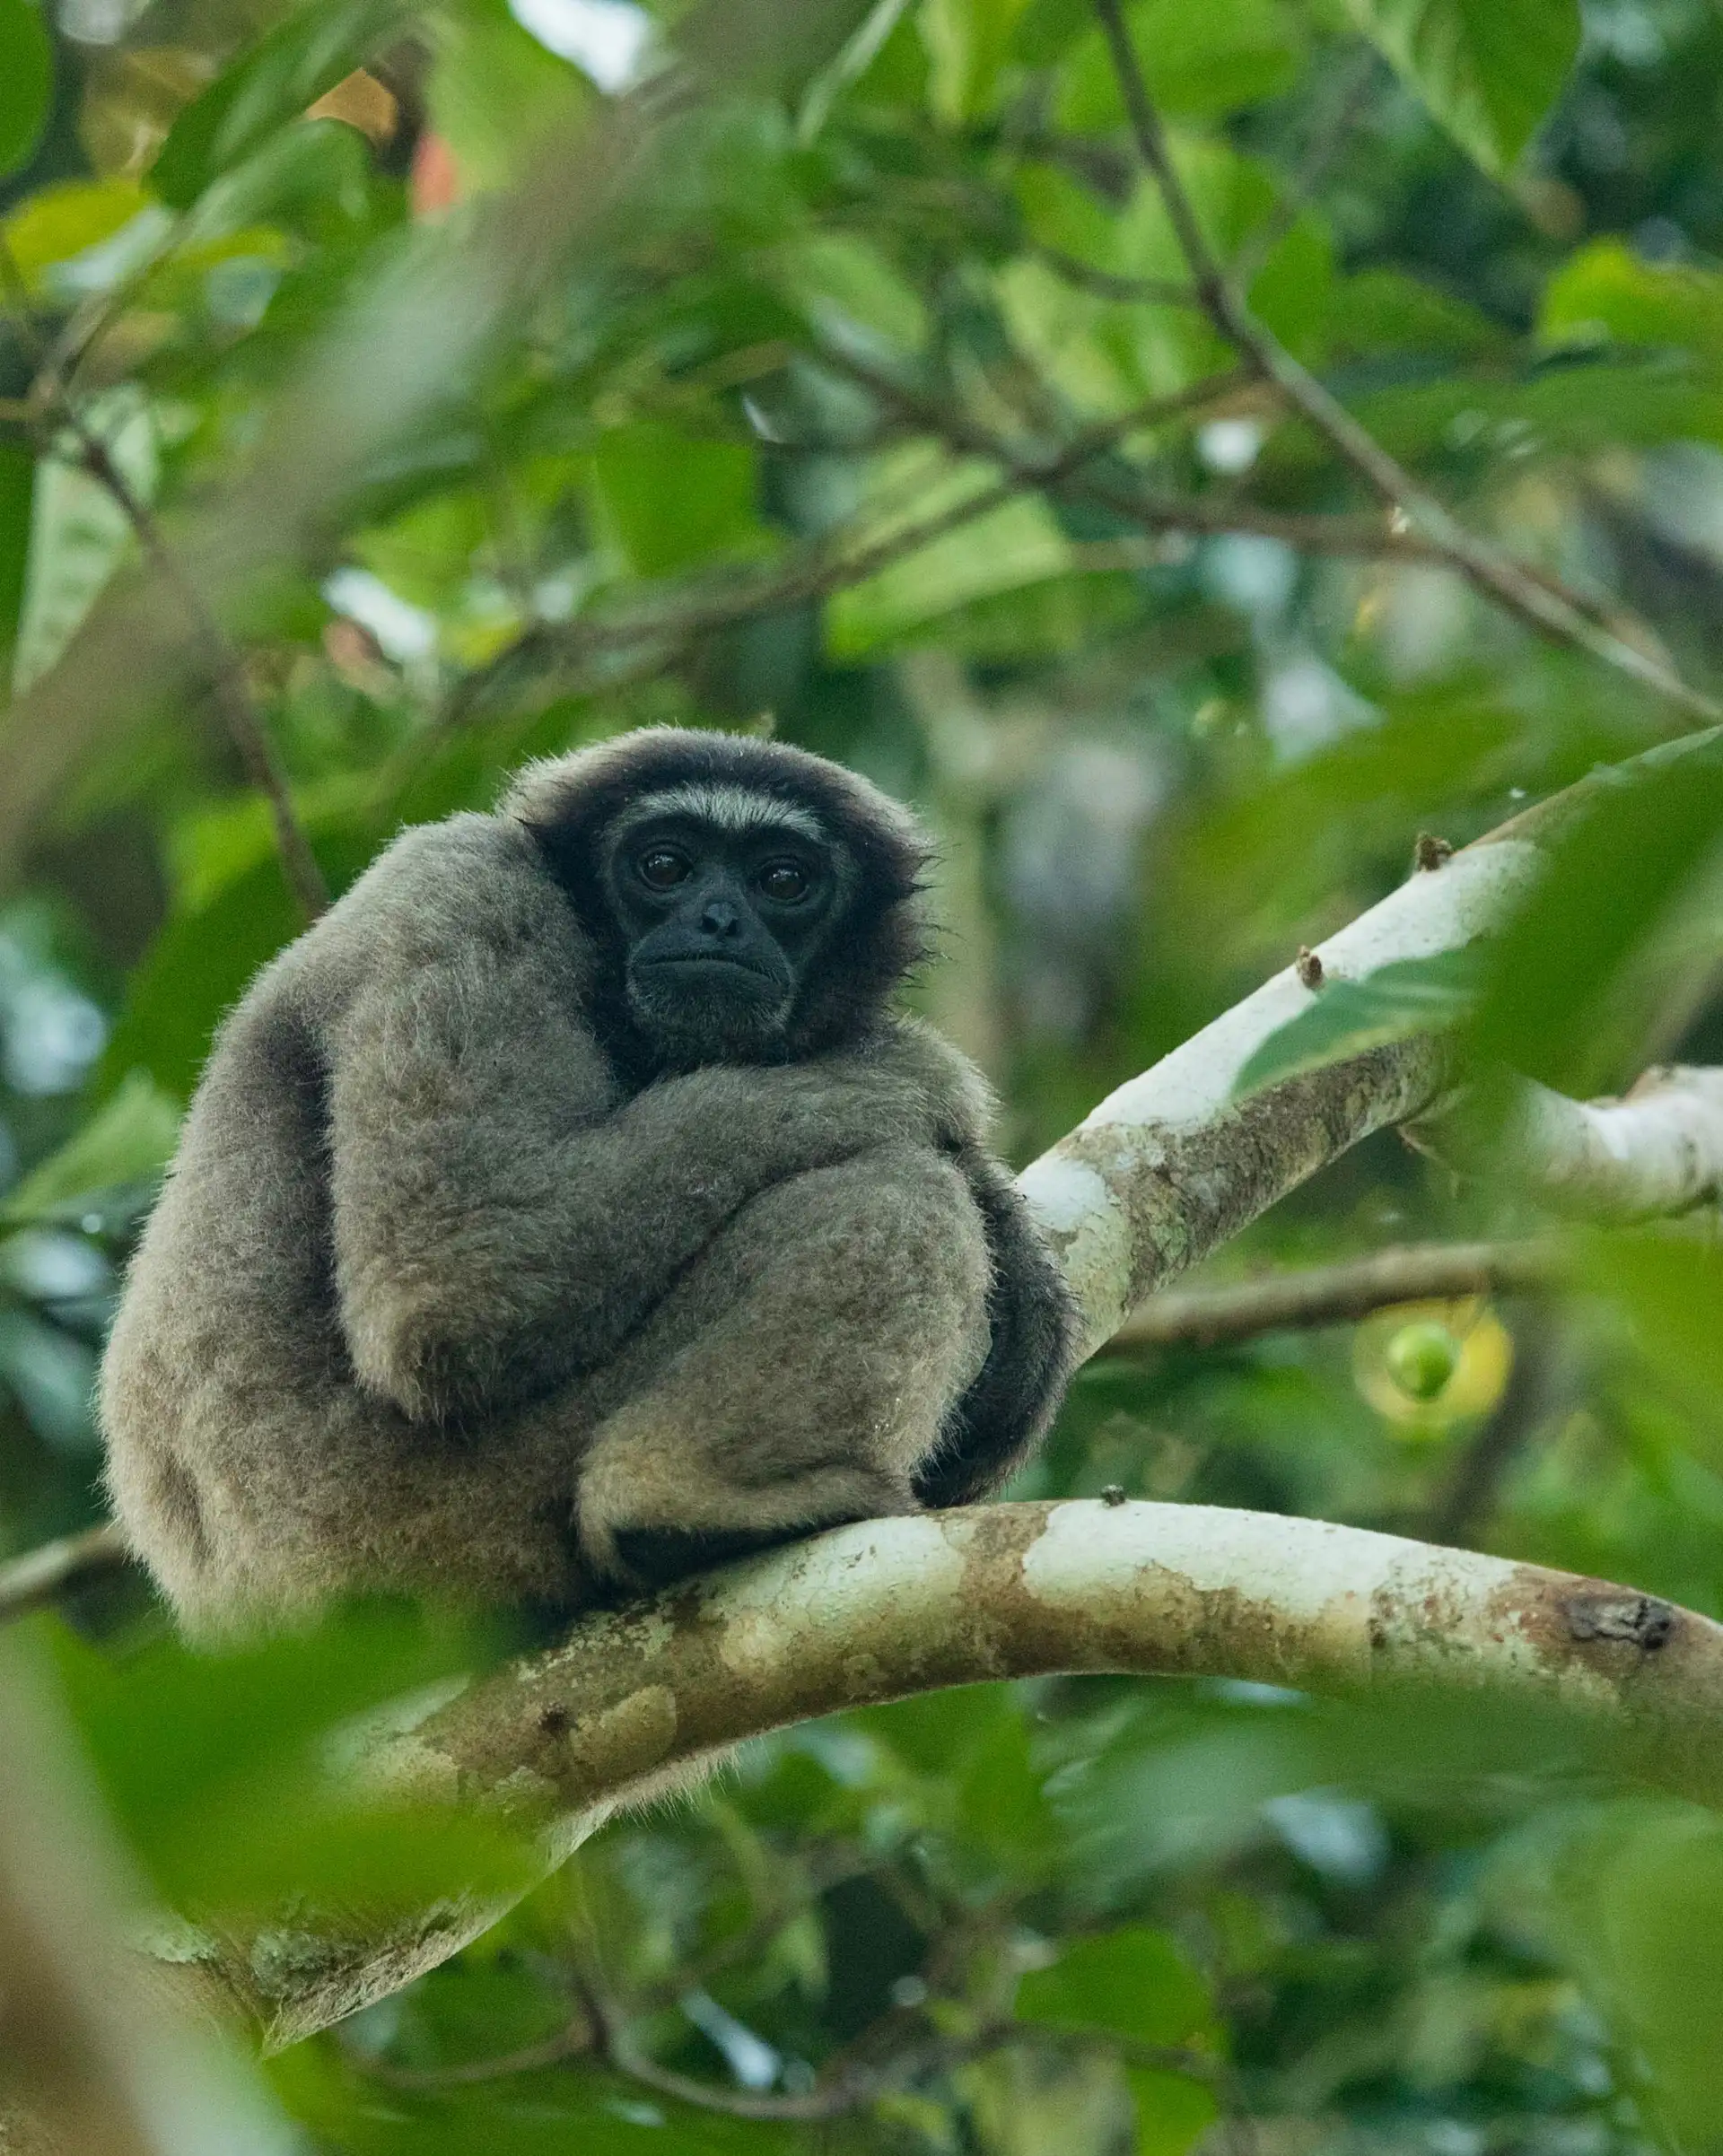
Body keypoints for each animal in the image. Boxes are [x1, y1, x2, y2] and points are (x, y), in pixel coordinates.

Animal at [99, 727, 1077, 1640]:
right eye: (664, 866)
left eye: (784, 881)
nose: (720, 920)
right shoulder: (469, 887)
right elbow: (455, 1277)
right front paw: (914, 1080)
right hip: (411, 1517)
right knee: (894, 1191)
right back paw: (683, 1501)